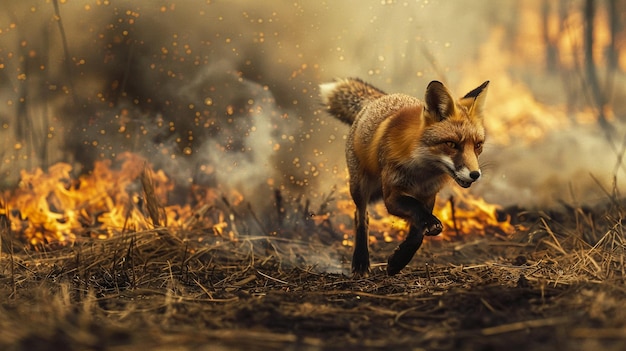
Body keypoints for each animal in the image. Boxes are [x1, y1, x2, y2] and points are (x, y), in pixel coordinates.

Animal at [322, 77, 488, 278]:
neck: (422, 172)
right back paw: (361, 261)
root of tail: (383, 98)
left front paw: (398, 261)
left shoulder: (428, 196)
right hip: (360, 186)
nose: (475, 174)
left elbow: (417, 233)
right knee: (360, 217)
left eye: (478, 145)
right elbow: (417, 211)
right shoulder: (391, 196)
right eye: (451, 144)